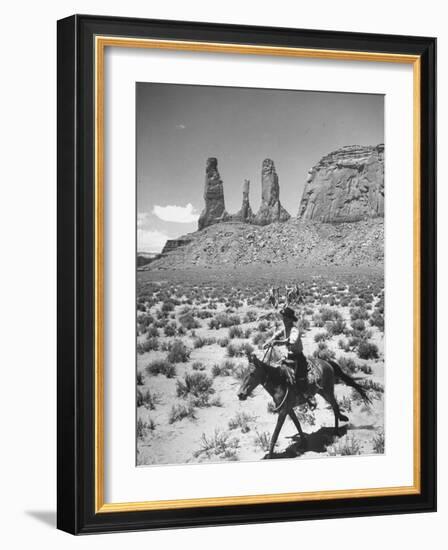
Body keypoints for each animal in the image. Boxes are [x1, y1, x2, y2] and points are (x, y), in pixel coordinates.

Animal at [238, 354, 372, 462]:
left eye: (252, 374)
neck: (280, 383)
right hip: (322, 392)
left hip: (328, 391)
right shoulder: (288, 409)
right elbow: (297, 423)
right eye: (243, 373)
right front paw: (303, 442)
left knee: (334, 406)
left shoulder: (283, 411)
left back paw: (336, 431)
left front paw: (270, 456)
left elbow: (276, 433)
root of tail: (327, 362)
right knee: (335, 406)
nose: (240, 394)